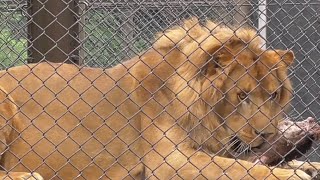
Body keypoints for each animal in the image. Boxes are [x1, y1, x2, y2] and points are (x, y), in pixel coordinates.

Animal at [0, 17, 318, 179]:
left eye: (273, 94)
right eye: (242, 94)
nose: (267, 135)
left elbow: (249, 161)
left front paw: (307, 167)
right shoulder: (167, 159)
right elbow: (239, 169)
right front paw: (292, 175)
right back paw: (26, 176)